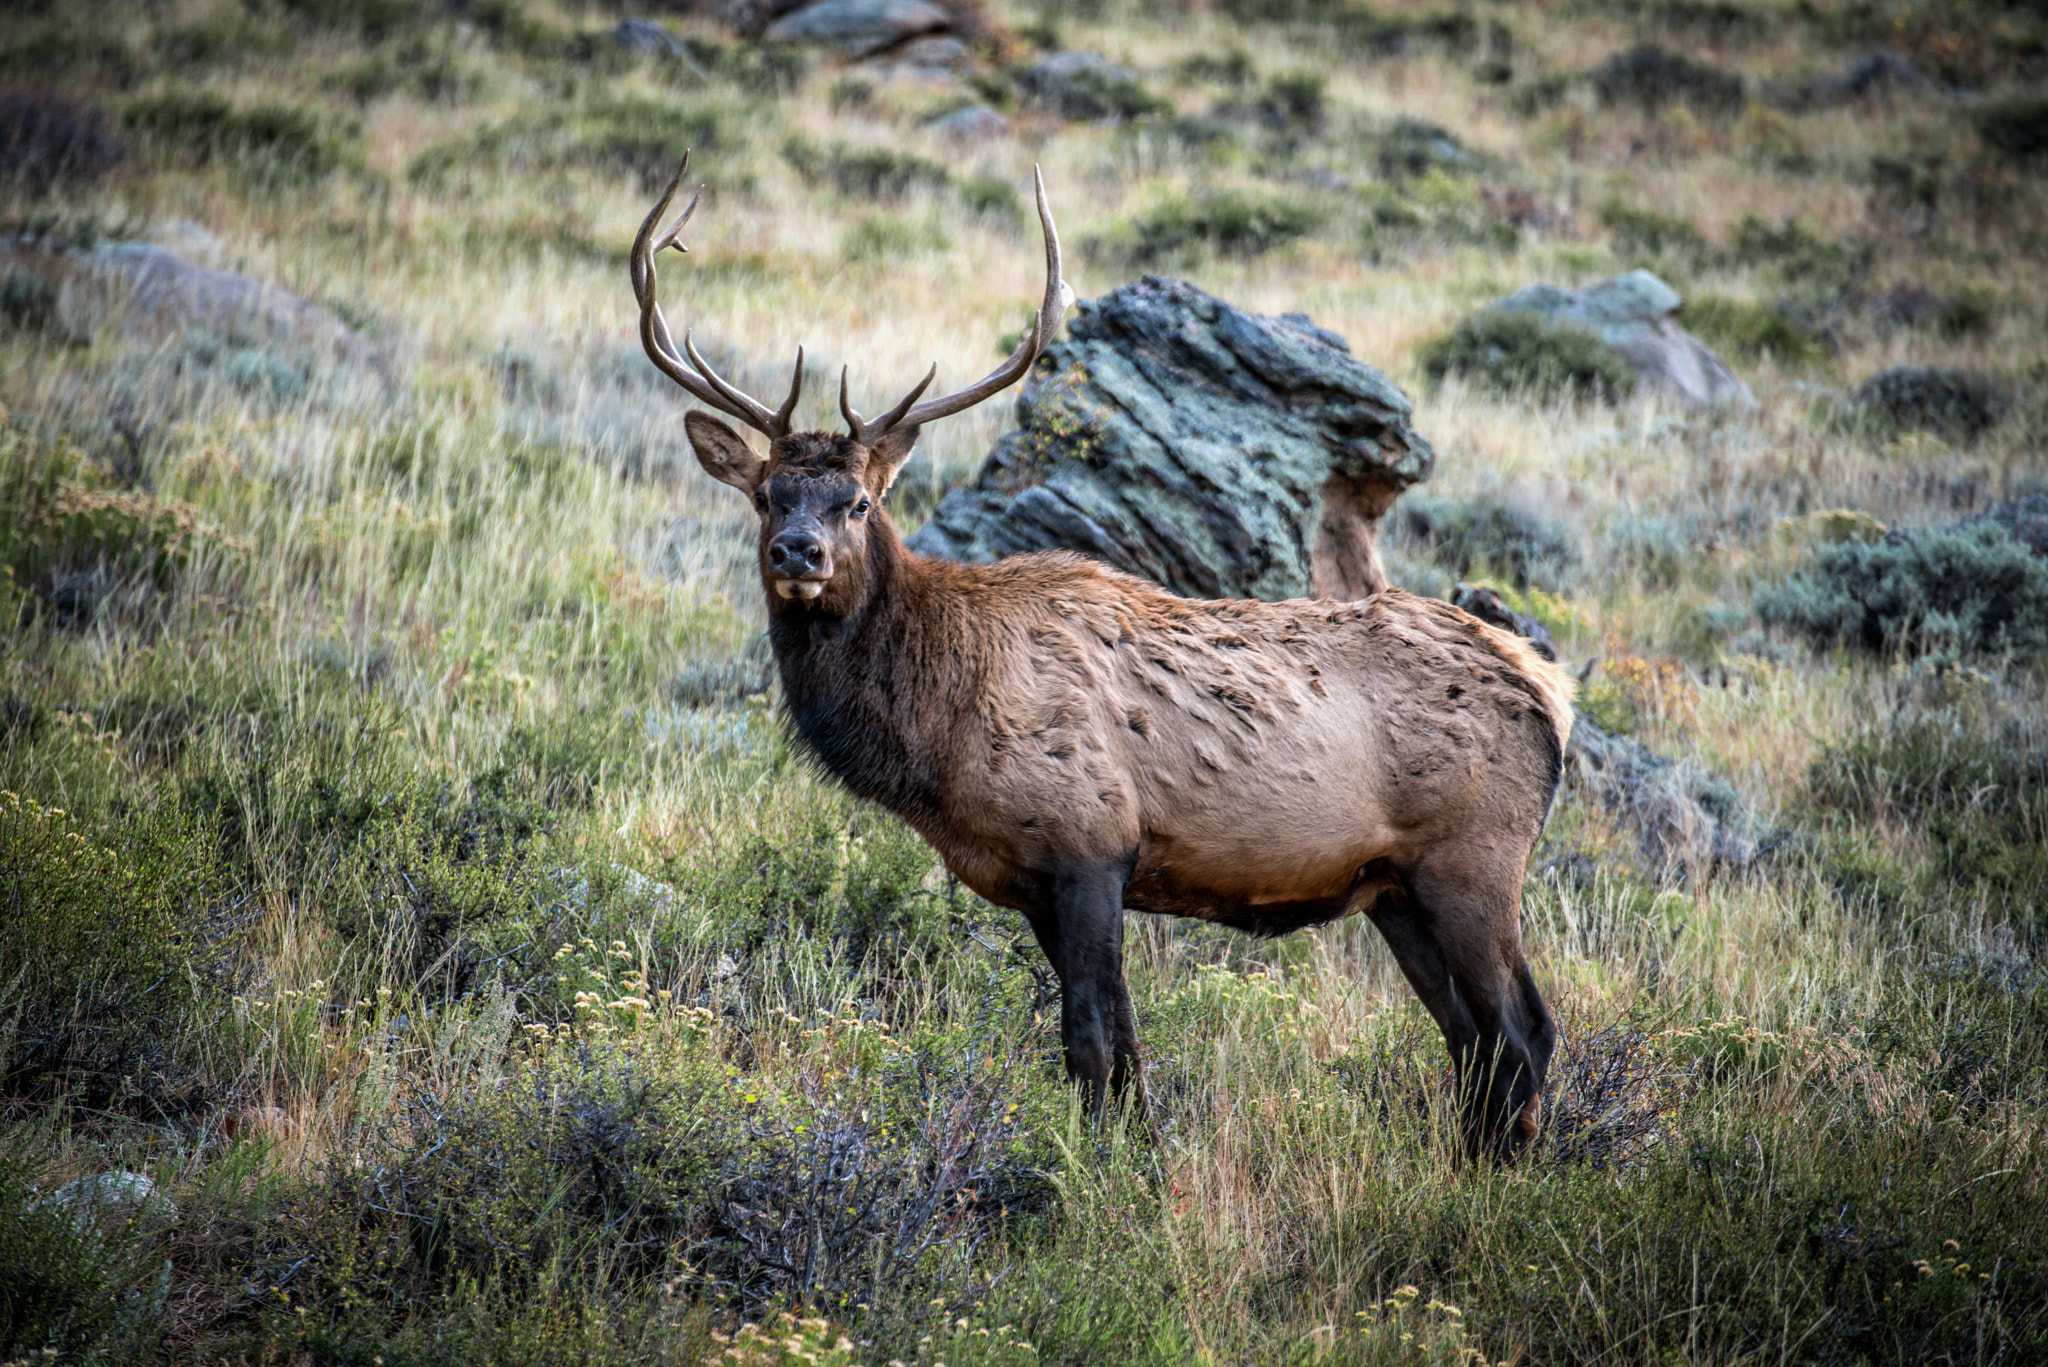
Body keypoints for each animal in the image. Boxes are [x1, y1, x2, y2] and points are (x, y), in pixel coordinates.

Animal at [631, 157, 1576, 1159]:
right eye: (767, 494)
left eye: (858, 501)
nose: (798, 553)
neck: (936, 743)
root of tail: (1552, 690)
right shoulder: (1034, 880)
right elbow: (1123, 1051)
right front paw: (1136, 1156)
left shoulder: (1089, 841)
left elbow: (1089, 1042)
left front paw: (1100, 1176)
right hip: (1396, 885)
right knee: (1473, 1039)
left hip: (1474, 853)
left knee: (1524, 1028)